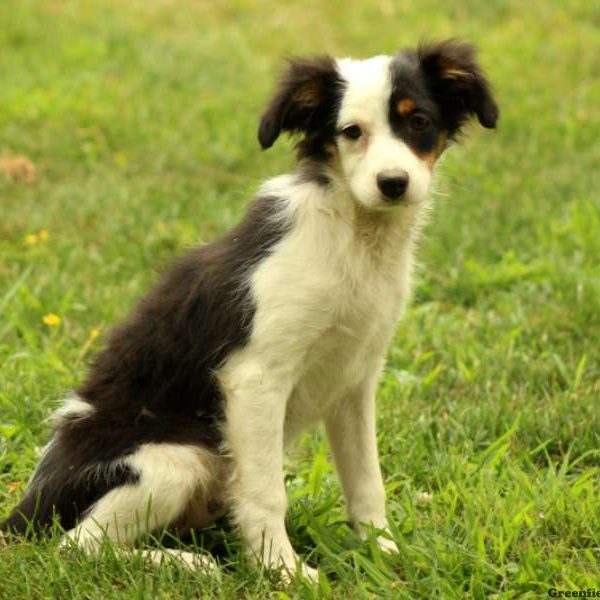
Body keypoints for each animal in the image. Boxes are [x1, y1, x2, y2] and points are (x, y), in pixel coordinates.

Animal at [2, 38, 500, 580]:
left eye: (419, 122)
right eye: (351, 132)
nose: (393, 183)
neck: (353, 235)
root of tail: (24, 510)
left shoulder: (355, 379)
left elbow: (367, 481)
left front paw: (384, 553)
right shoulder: (256, 378)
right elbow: (266, 493)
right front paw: (283, 571)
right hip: (172, 459)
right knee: (78, 545)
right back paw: (187, 563)